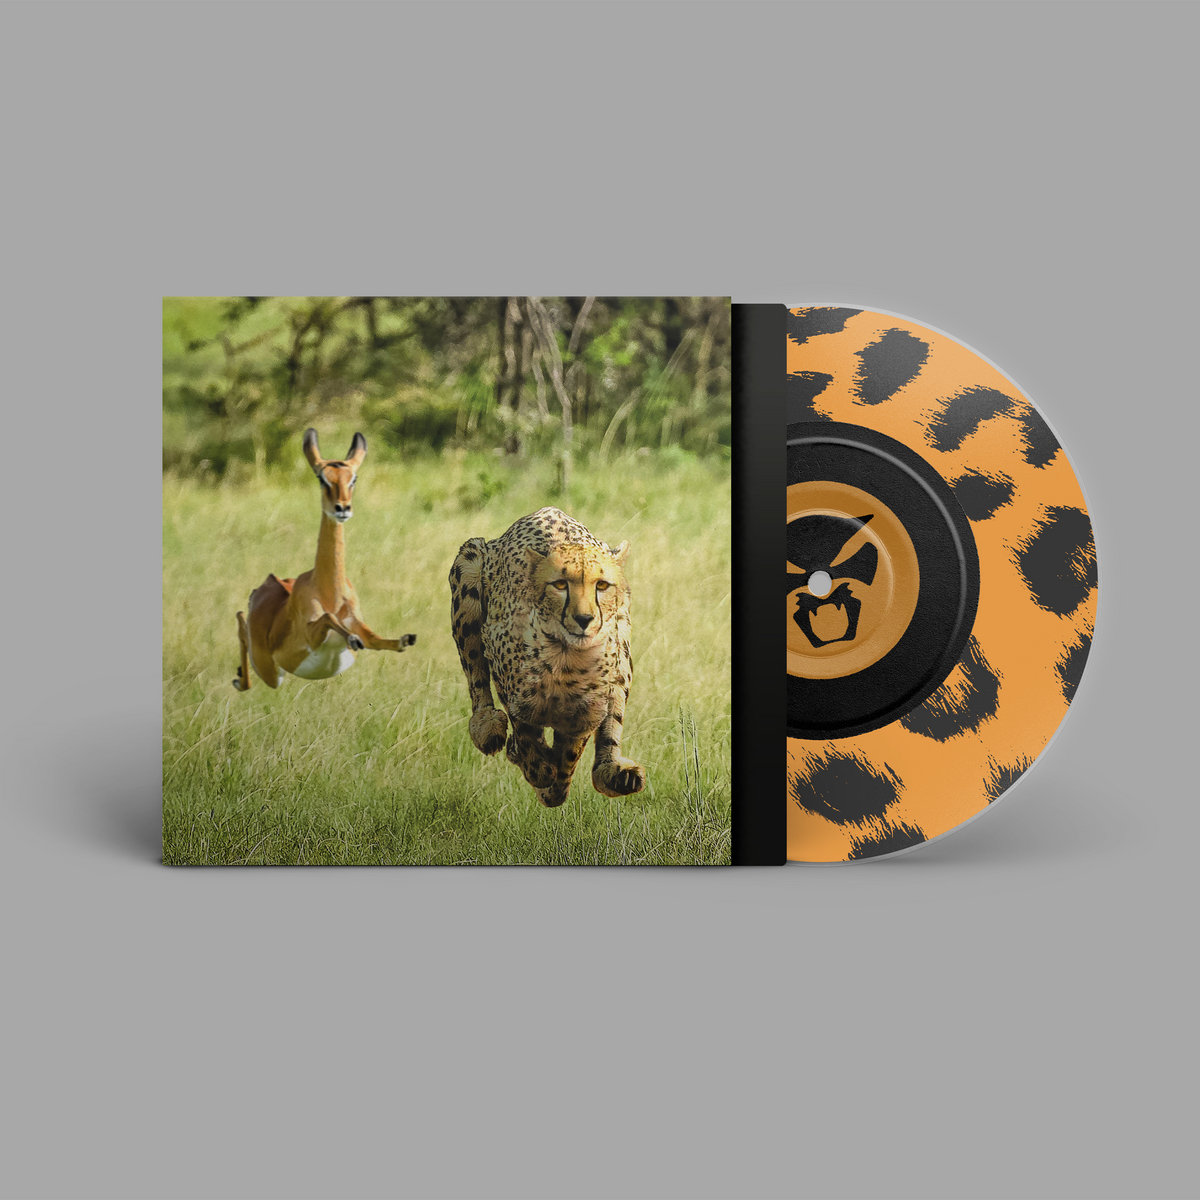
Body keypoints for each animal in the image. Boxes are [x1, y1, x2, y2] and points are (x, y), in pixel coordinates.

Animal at [233, 429, 417, 691]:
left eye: (353, 478)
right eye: (322, 478)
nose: (342, 508)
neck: (330, 594)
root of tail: (265, 584)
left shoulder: (357, 622)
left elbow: (376, 639)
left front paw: (405, 639)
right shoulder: (312, 633)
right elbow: (329, 619)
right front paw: (352, 638)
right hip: (269, 671)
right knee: (240, 621)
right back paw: (238, 679)